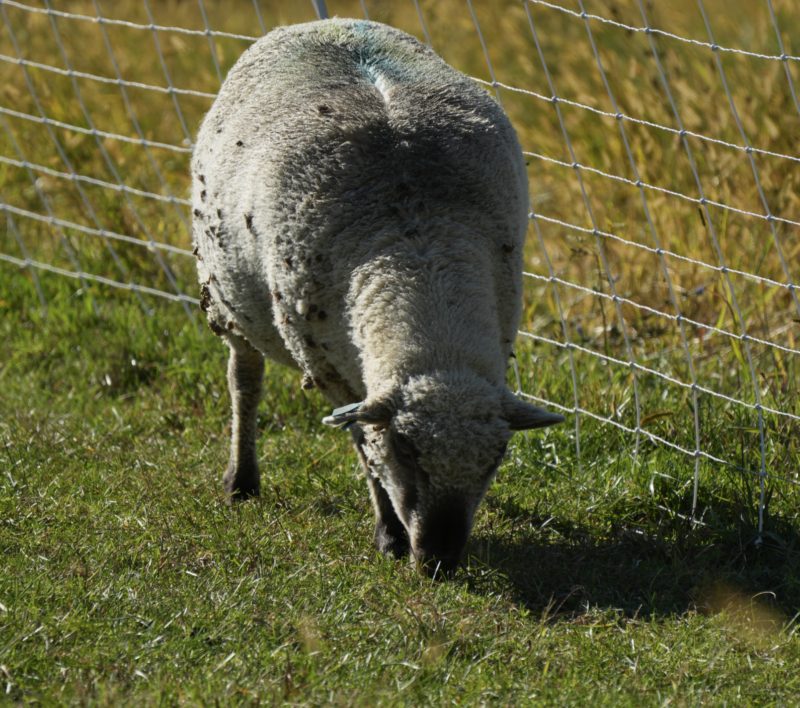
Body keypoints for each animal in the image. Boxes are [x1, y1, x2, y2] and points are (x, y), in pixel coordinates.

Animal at [191, 18, 563, 575]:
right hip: (225, 297)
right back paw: (242, 480)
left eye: (496, 459)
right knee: (244, 380)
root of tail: (320, 22)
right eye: (404, 450)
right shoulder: (334, 372)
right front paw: (388, 533)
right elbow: (365, 449)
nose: (439, 560)